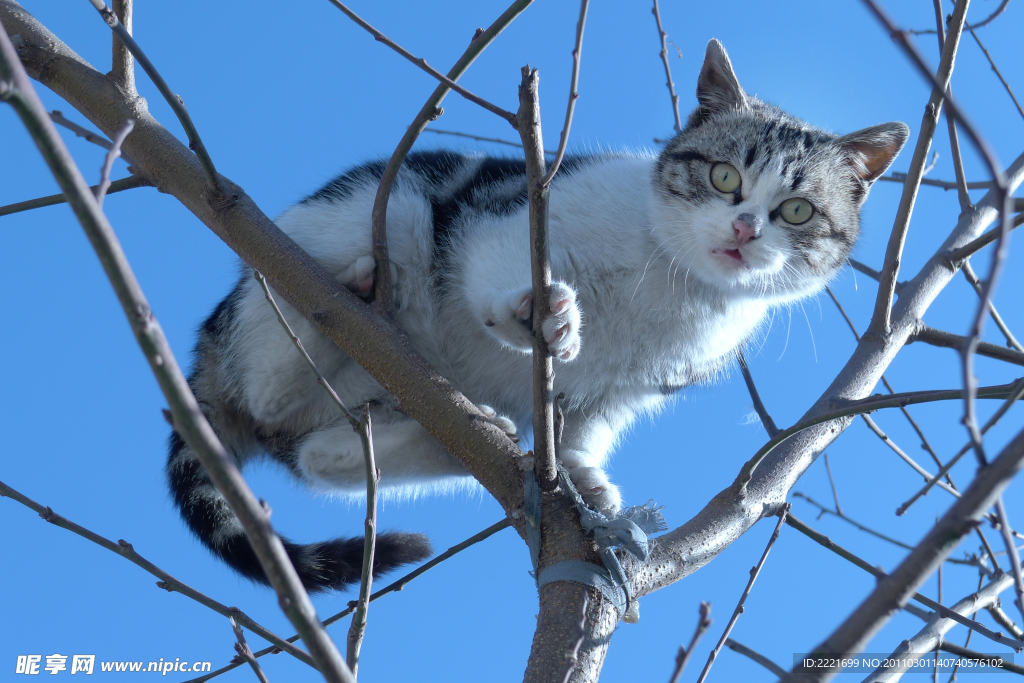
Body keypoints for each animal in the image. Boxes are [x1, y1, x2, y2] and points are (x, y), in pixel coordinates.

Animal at [165, 38, 905, 593]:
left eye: (798, 211)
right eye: (724, 177)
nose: (746, 229)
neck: (671, 288)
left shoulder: (633, 387)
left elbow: (585, 422)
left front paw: (581, 473)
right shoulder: (511, 209)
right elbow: (497, 260)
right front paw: (532, 310)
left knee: (317, 454)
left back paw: (466, 430)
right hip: (371, 213)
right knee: (274, 378)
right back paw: (347, 292)